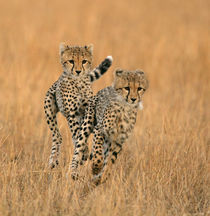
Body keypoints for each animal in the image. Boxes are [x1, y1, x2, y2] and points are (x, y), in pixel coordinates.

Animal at [43, 42, 113, 176]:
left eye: (84, 61)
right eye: (71, 61)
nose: (78, 71)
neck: (79, 82)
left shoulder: (88, 110)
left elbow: (82, 133)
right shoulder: (72, 114)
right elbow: (77, 133)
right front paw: (84, 152)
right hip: (49, 107)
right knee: (57, 135)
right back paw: (53, 160)